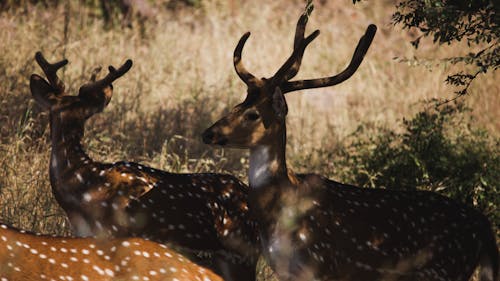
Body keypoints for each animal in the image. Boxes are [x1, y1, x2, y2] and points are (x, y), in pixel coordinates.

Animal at [201, 3, 498, 280]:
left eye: (252, 114)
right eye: (237, 105)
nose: (209, 133)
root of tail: (485, 226)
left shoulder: (323, 265)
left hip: (444, 268)